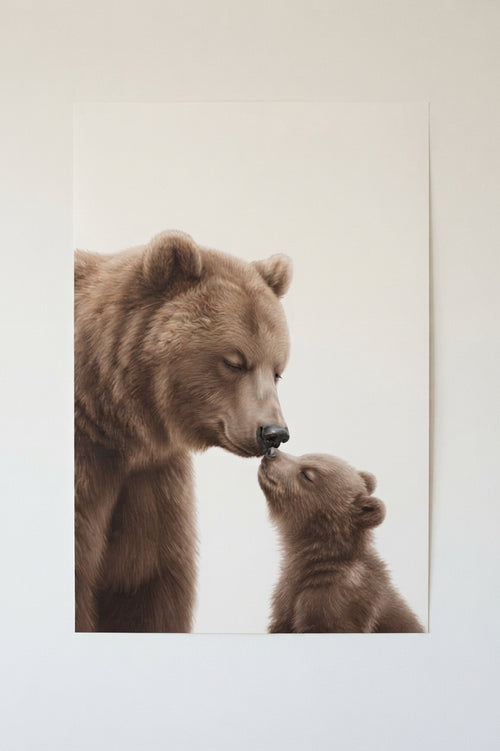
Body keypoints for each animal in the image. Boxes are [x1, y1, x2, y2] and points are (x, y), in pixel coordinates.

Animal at [74, 230, 292, 632]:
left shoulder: (150, 479)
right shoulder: (91, 463)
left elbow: (148, 581)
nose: (273, 433)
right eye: (234, 362)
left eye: (277, 370)